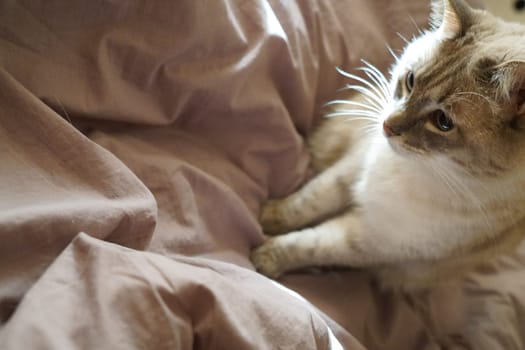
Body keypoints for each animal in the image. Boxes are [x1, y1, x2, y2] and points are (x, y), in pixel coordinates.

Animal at [249, 0, 524, 292]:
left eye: (443, 122)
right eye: (411, 80)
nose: (387, 126)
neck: (416, 168)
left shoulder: (374, 240)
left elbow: (310, 245)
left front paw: (265, 256)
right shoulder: (351, 168)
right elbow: (307, 201)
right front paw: (269, 216)